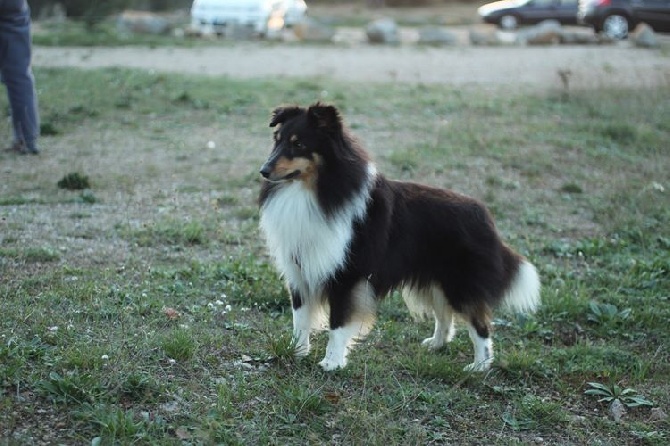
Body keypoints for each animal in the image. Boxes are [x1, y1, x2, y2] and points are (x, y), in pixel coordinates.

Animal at [258, 103, 540, 372]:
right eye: (277, 140)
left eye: (298, 144)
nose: (263, 170)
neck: (315, 191)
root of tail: (485, 217)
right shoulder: (299, 269)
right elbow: (300, 318)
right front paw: (296, 352)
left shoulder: (347, 274)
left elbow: (338, 322)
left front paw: (332, 363)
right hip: (435, 279)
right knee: (445, 315)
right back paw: (436, 344)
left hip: (459, 283)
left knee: (480, 326)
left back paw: (479, 366)